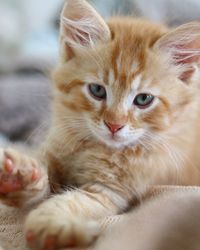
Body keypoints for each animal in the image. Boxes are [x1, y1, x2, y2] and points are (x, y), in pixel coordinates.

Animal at [0, 0, 200, 249]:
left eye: (143, 99)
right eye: (97, 90)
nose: (114, 125)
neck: (93, 146)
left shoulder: (110, 190)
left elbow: (72, 202)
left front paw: (54, 226)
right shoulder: (53, 151)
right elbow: (41, 168)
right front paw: (18, 176)